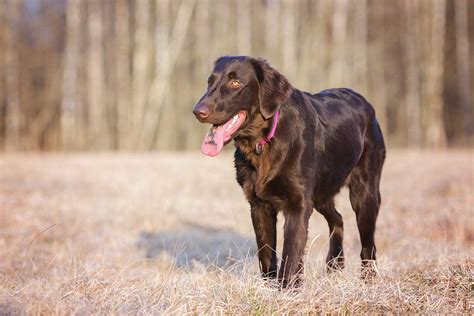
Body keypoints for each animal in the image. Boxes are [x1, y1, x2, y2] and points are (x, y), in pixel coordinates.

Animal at [192, 56, 386, 286]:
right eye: (209, 82)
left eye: (235, 83)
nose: (198, 111)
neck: (264, 142)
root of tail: (365, 102)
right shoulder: (259, 205)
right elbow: (267, 254)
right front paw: (270, 288)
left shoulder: (298, 204)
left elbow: (290, 254)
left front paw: (286, 290)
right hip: (322, 192)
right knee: (338, 219)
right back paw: (334, 266)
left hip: (364, 194)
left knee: (368, 245)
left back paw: (369, 280)